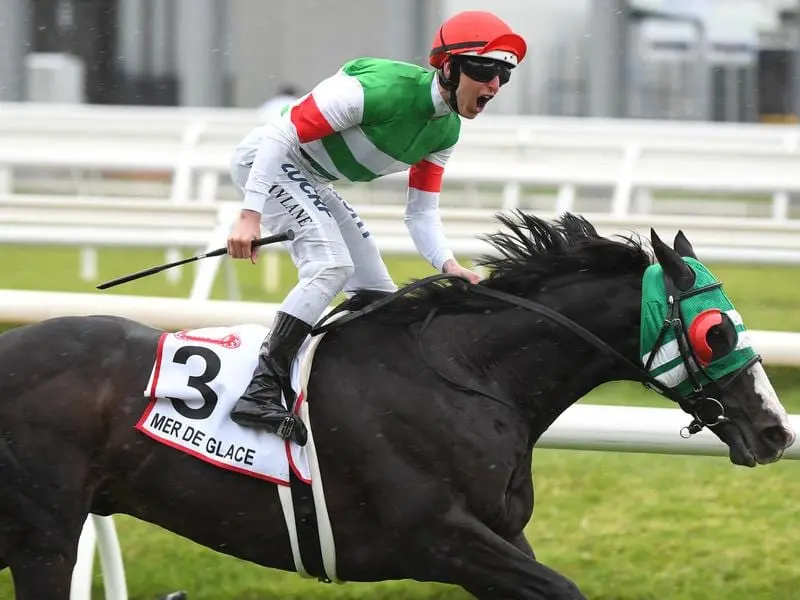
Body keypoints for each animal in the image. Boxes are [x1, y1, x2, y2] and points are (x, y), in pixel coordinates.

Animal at [0, 213, 792, 596]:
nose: (777, 430)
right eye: (717, 330)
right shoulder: (437, 538)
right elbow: (565, 590)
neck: (469, 377)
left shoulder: (501, 539)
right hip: (45, 536)